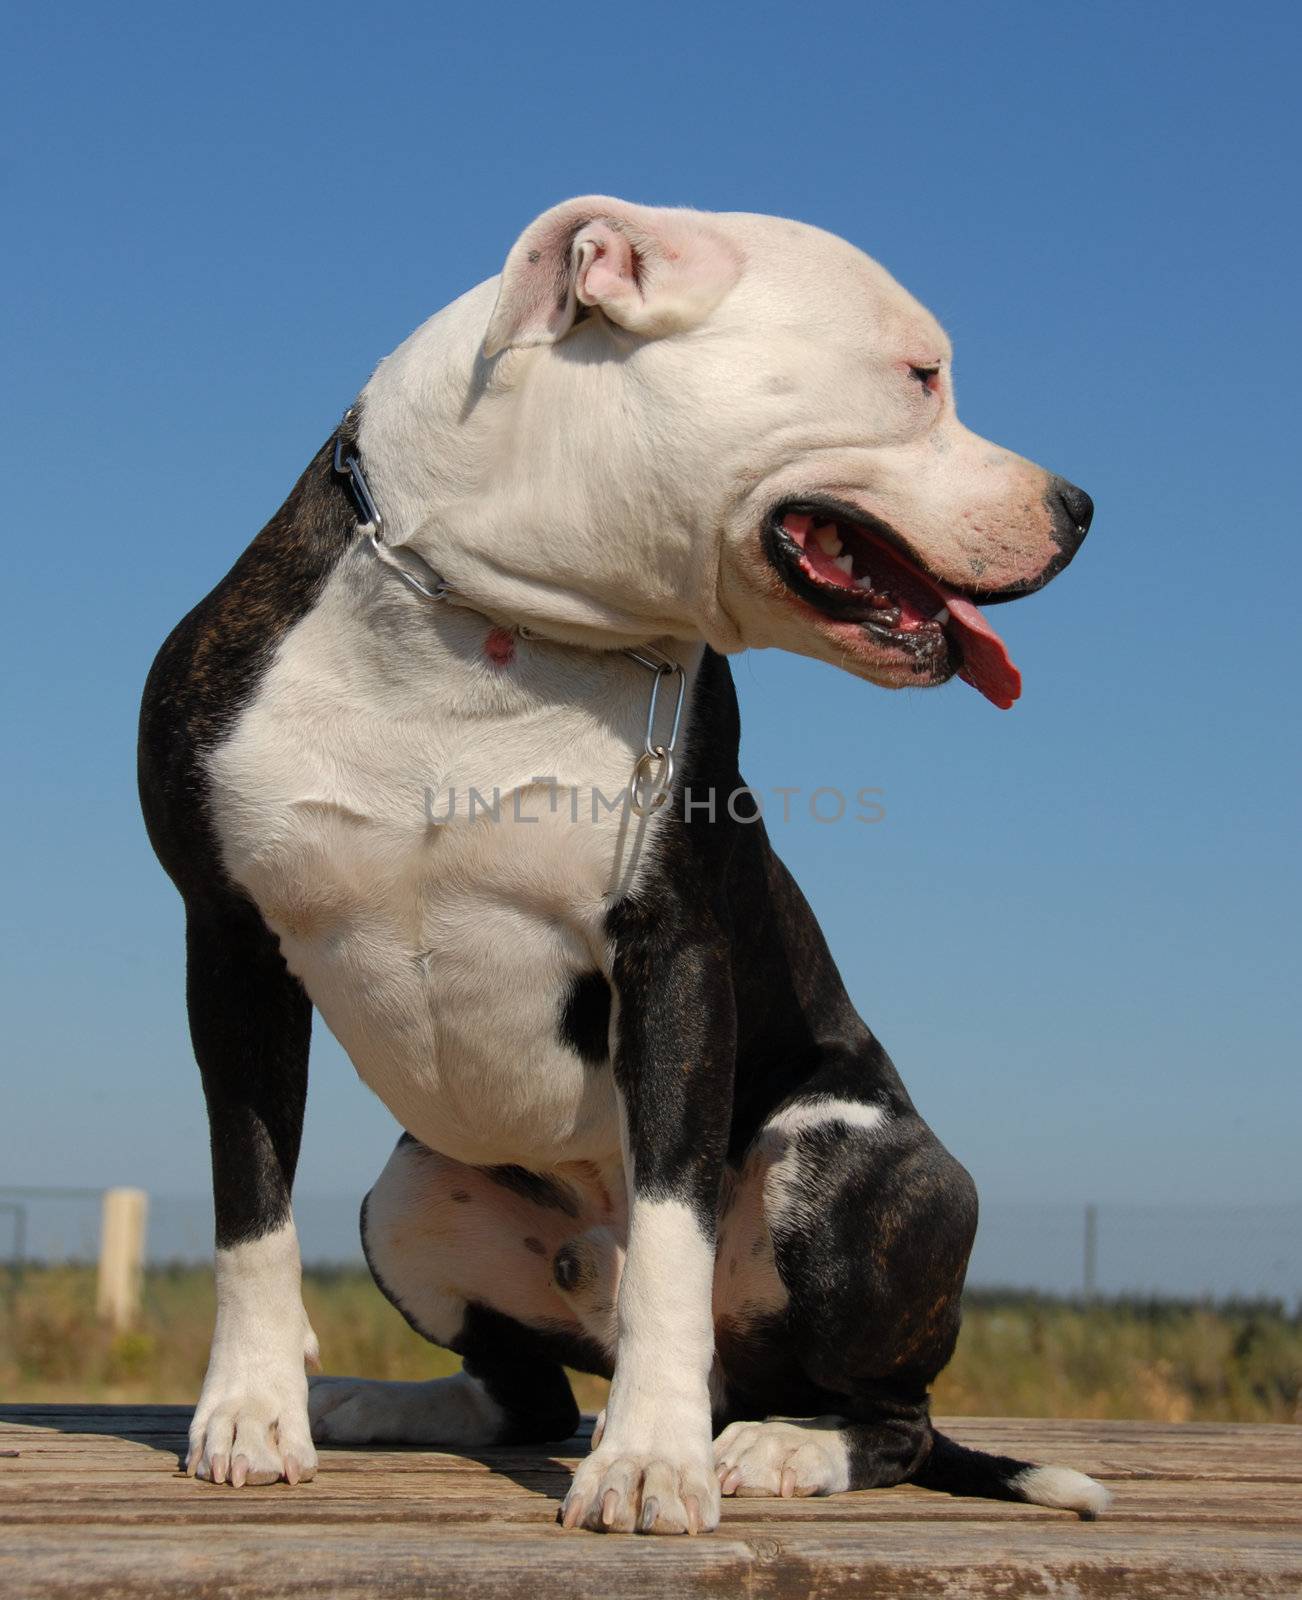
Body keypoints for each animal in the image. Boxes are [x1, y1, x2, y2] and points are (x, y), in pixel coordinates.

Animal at [139, 193, 1100, 1529]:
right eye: (921, 376)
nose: (1080, 506)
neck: (495, 624)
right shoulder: (229, 945)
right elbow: (253, 1209)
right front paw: (252, 1409)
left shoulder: (674, 957)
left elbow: (670, 1239)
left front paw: (649, 1460)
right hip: (410, 1194)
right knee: (525, 1392)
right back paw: (379, 1403)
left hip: (848, 1160)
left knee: (889, 1413)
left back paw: (778, 1446)